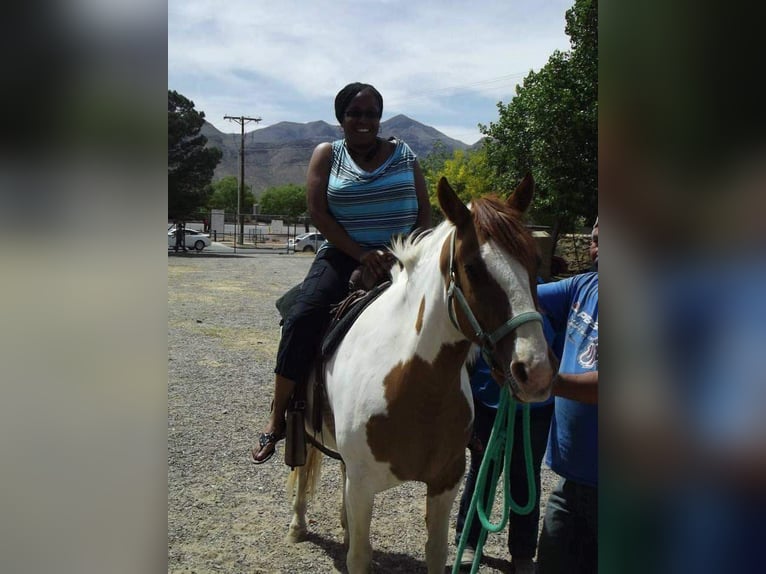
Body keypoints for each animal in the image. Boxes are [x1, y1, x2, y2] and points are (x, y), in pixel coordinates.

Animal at [285, 175, 554, 573]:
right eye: (473, 268)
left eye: (535, 262)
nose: (534, 371)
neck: (414, 386)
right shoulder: (364, 487)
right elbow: (359, 556)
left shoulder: (445, 483)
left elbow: (436, 551)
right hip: (304, 425)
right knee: (304, 469)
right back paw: (298, 523)